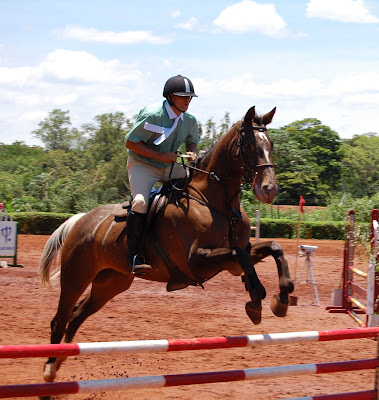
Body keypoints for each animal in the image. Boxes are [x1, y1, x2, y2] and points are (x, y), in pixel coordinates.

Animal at [38, 105, 294, 382]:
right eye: (248, 144)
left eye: (271, 144)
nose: (269, 190)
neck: (217, 204)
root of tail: (81, 220)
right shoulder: (196, 261)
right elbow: (240, 255)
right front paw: (256, 298)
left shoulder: (232, 259)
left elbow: (273, 248)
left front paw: (281, 298)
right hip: (76, 276)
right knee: (60, 319)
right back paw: (49, 368)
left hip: (111, 282)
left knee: (76, 315)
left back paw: (61, 359)